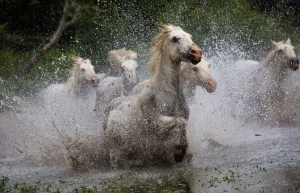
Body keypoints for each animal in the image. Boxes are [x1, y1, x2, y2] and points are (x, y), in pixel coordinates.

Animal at [102, 24, 203, 167]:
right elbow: (179, 121)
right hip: (114, 148)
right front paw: (178, 152)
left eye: (190, 36)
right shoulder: (156, 126)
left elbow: (183, 123)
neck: (168, 92)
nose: (197, 53)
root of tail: (111, 106)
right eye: (175, 38)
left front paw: (179, 155)